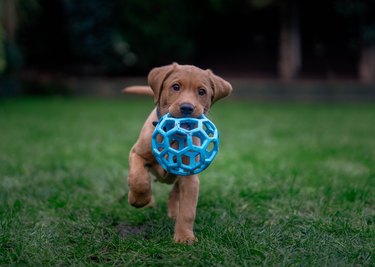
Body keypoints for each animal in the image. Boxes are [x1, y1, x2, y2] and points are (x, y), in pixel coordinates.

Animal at [123, 62, 232, 245]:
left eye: (201, 92)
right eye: (175, 87)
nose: (187, 107)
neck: (174, 135)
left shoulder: (190, 175)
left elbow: (188, 211)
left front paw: (184, 237)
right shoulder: (137, 153)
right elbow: (138, 179)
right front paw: (138, 200)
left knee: (174, 192)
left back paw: (173, 211)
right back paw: (148, 201)